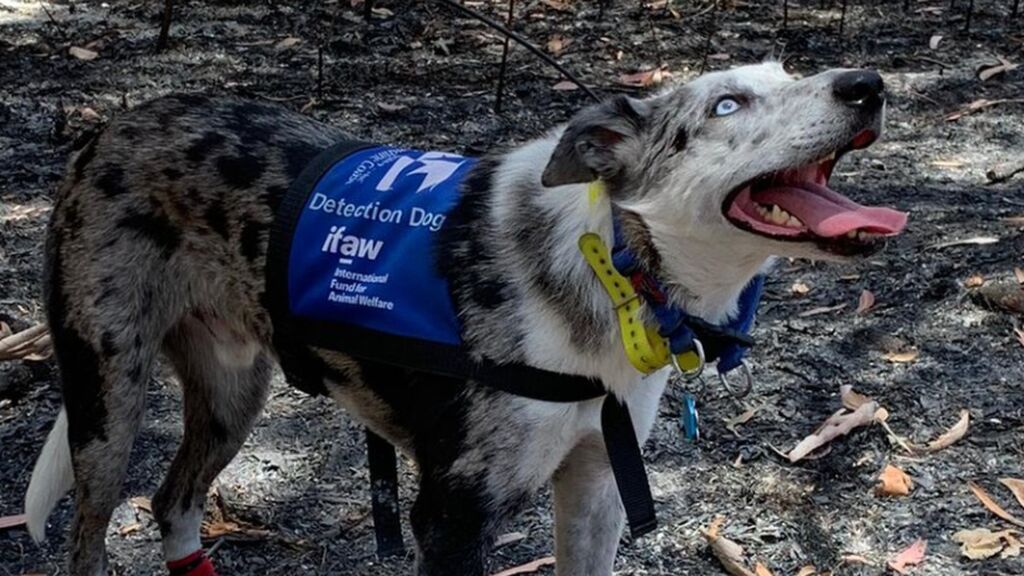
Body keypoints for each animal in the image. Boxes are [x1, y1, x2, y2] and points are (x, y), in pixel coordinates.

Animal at [24, 62, 905, 573]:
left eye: (788, 72)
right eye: (727, 104)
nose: (867, 84)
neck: (611, 265)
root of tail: (110, 128)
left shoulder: (595, 489)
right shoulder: (450, 518)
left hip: (232, 394)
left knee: (174, 507)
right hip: (108, 405)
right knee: (90, 538)